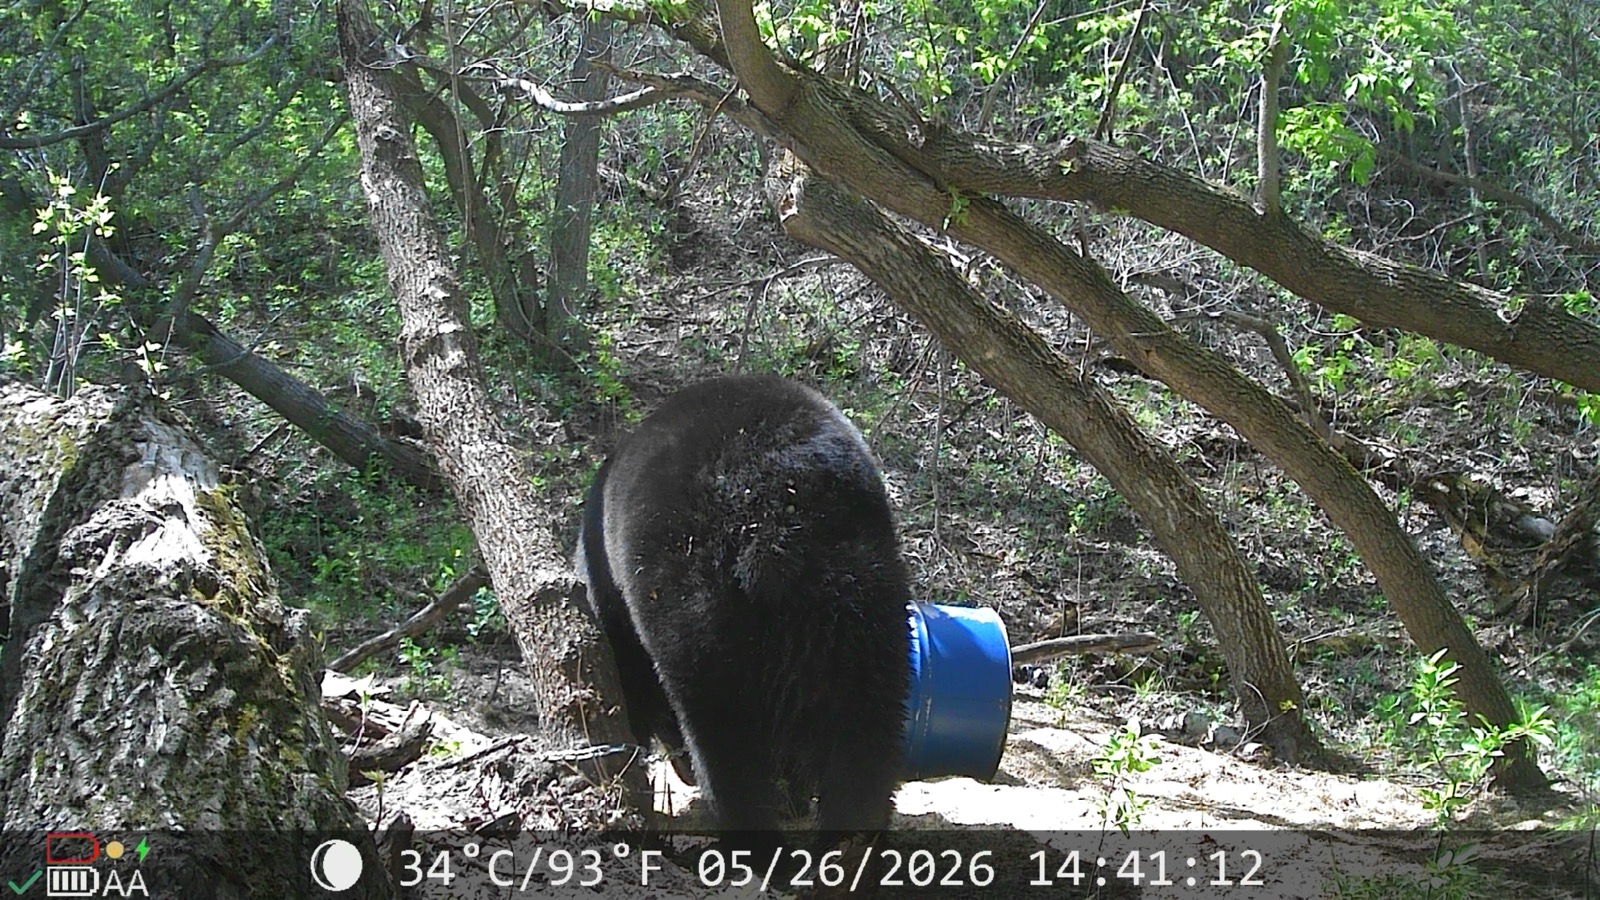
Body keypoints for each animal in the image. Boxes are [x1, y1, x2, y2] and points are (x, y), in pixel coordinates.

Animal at [576, 374, 911, 834]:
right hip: (861, 587)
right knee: (866, 722)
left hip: (693, 593)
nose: (680, 771)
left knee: (723, 733)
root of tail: (768, 508)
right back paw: (852, 831)